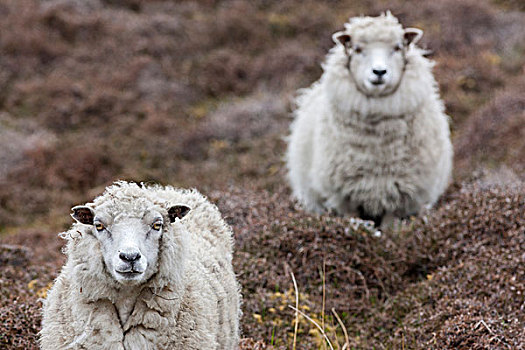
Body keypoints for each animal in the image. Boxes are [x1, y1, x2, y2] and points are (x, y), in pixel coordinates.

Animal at [284, 11, 452, 227]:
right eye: (357, 49)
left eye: (397, 48)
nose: (379, 72)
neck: (377, 148)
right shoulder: (345, 198)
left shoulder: (398, 198)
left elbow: (390, 228)